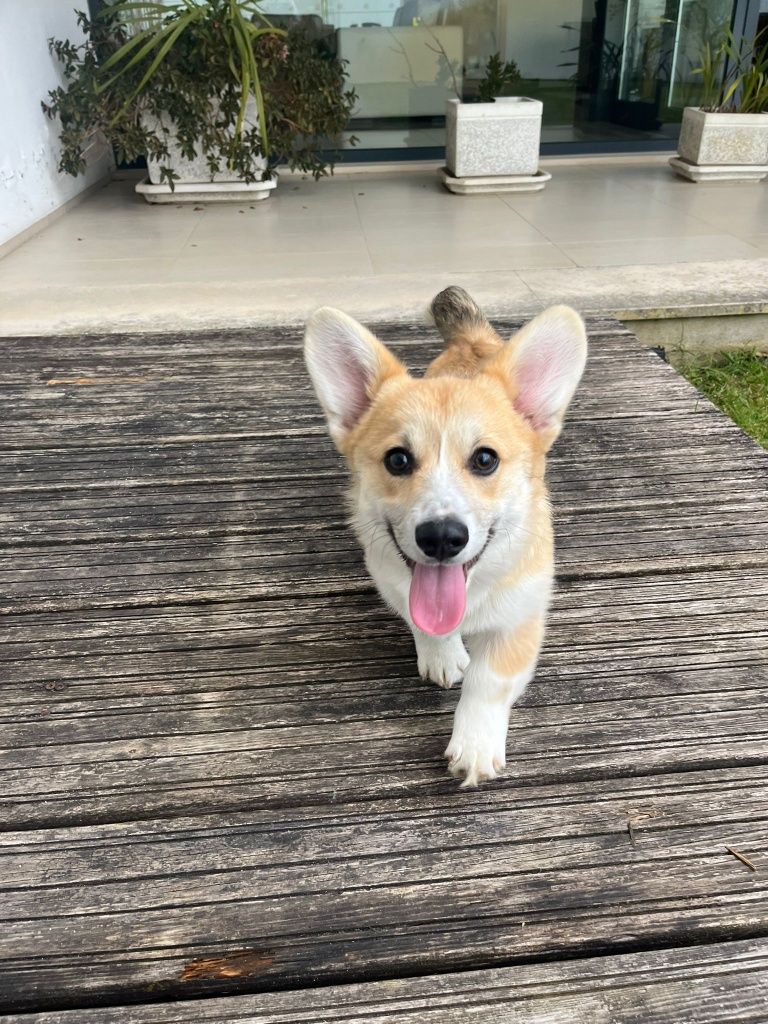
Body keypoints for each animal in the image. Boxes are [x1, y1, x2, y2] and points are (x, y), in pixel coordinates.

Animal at [303, 286, 585, 782]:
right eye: (398, 460)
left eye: (485, 459)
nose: (440, 538)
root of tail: (472, 341)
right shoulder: (393, 582)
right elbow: (423, 624)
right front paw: (442, 656)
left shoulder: (521, 618)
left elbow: (488, 682)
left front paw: (475, 746)